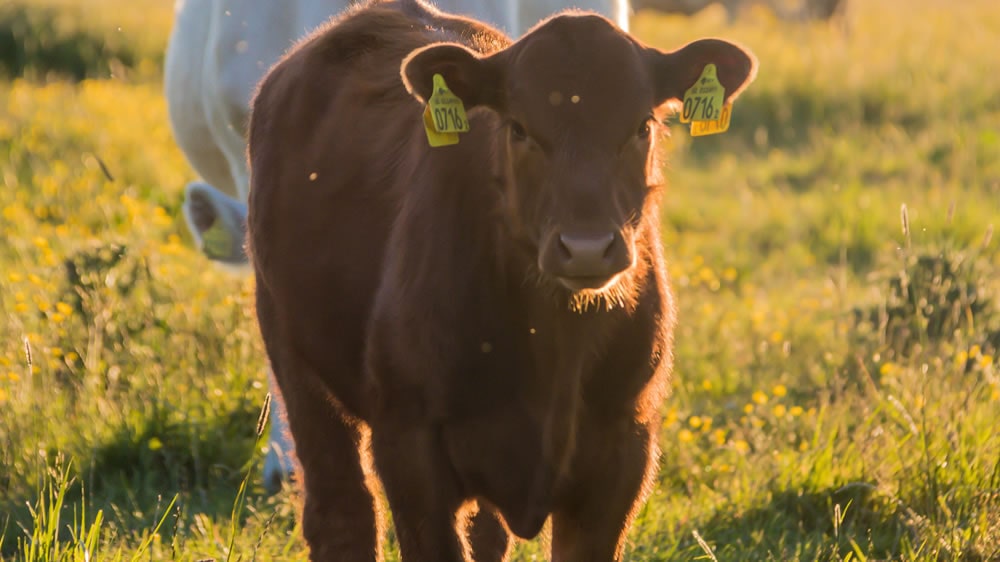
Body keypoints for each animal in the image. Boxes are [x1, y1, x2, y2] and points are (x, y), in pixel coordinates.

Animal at [246, 2, 752, 556]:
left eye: (643, 126)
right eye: (519, 129)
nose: (586, 247)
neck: (555, 346)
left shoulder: (624, 448)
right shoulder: (409, 446)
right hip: (293, 360)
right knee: (341, 509)